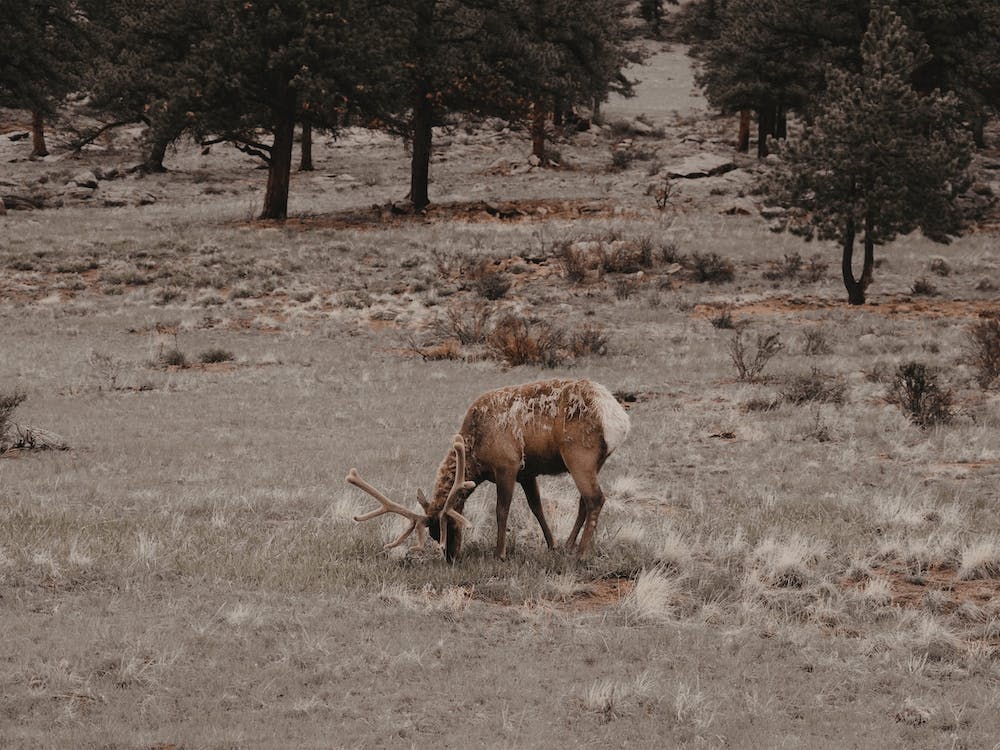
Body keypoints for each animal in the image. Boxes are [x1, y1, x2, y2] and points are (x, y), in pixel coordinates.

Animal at [346, 378, 630, 562]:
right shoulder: (527, 473)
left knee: (595, 499)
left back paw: (581, 555)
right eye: (433, 534)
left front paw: (500, 553)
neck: (477, 457)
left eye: (450, 524)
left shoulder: (508, 465)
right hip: (594, 462)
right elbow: (536, 507)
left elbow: (501, 510)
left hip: (579, 455)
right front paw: (551, 545)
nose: (450, 557)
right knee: (584, 501)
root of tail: (619, 419)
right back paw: (570, 545)